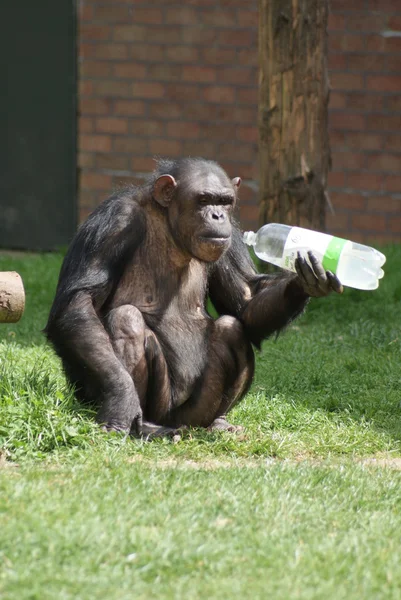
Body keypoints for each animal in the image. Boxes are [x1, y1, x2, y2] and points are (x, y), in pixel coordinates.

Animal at [45, 158, 342, 436]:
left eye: (225, 201)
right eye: (203, 200)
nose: (217, 216)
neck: (169, 226)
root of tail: (176, 423)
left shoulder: (231, 238)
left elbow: (246, 301)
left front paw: (305, 279)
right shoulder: (113, 222)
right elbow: (80, 301)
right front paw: (121, 398)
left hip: (193, 412)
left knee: (231, 328)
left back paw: (218, 423)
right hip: (153, 404)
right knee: (126, 319)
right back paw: (145, 428)